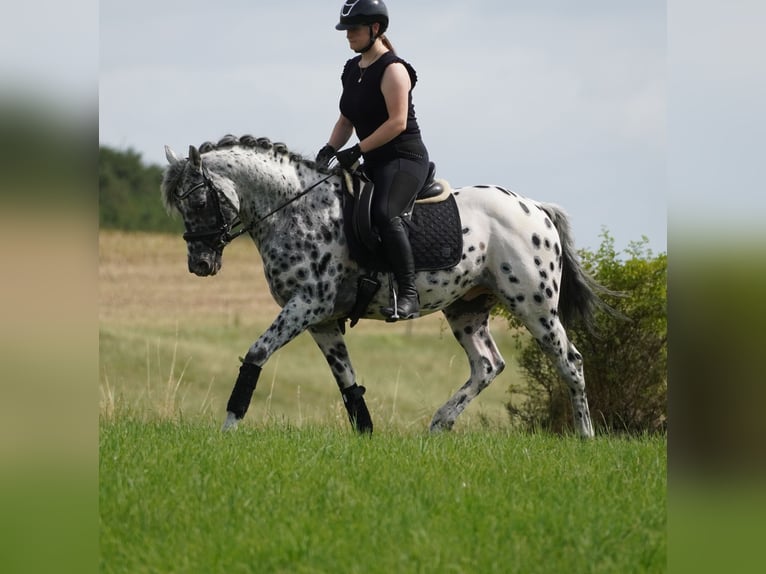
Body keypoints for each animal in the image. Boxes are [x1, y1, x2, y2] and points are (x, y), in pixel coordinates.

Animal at [160, 136, 612, 440]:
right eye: (180, 206)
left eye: (199, 202)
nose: (199, 264)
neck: (297, 209)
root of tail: (535, 208)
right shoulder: (321, 320)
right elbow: (347, 381)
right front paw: (366, 436)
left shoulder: (306, 305)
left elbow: (256, 354)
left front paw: (229, 427)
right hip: (466, 308)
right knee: (487, 364)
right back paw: (439, 424)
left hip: (534, 305)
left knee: (570, 362)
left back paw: (585, 437)